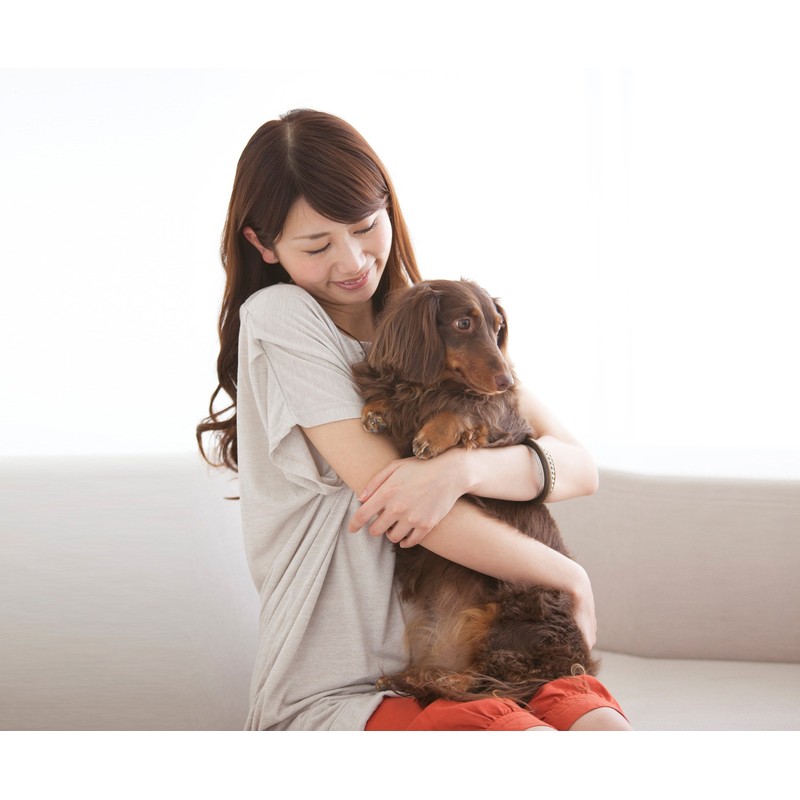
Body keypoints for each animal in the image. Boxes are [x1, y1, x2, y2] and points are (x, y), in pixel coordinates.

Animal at [352, 278, 599, 707]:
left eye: (498, 326)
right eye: (463, 323)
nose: (508, 382)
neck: (434, 387)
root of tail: (573, 662)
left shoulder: (493, 420)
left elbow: (466, 409)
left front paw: (434, 433)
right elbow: (395, 398)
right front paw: (378, 409)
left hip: (518, 610)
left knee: (489, 681)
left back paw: (431, 679)